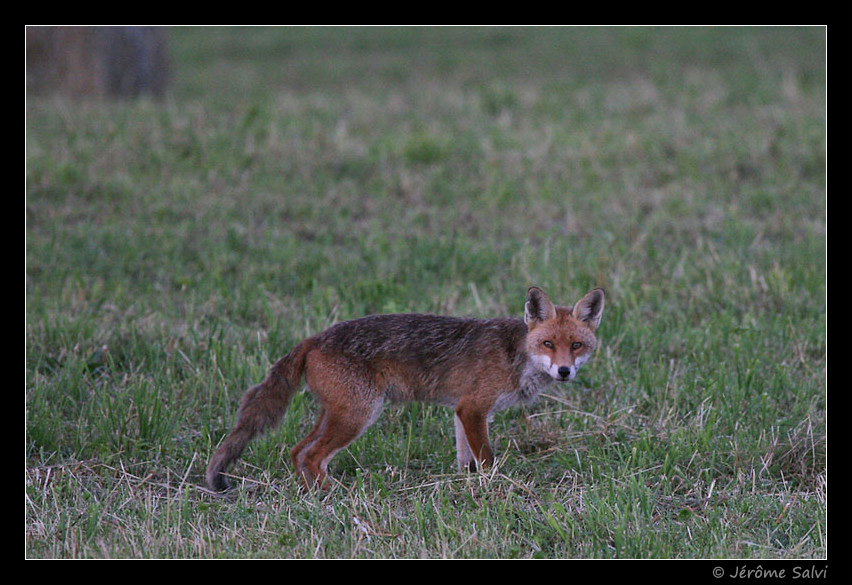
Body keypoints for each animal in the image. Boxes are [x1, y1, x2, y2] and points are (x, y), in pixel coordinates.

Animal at [206, 286, 604, 491]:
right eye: (548, 344)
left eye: (577, 345)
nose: (565, 371)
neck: (516, 356)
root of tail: (316, 337)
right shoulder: (474, 408)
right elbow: (488, 460)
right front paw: (497, 489)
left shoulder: (462, 411)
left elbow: (466, 460)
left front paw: (467, 488)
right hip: (358, 416)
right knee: (311, 456)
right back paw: (333, 496)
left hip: (335, 413)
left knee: (296, 451)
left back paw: (311, 492)